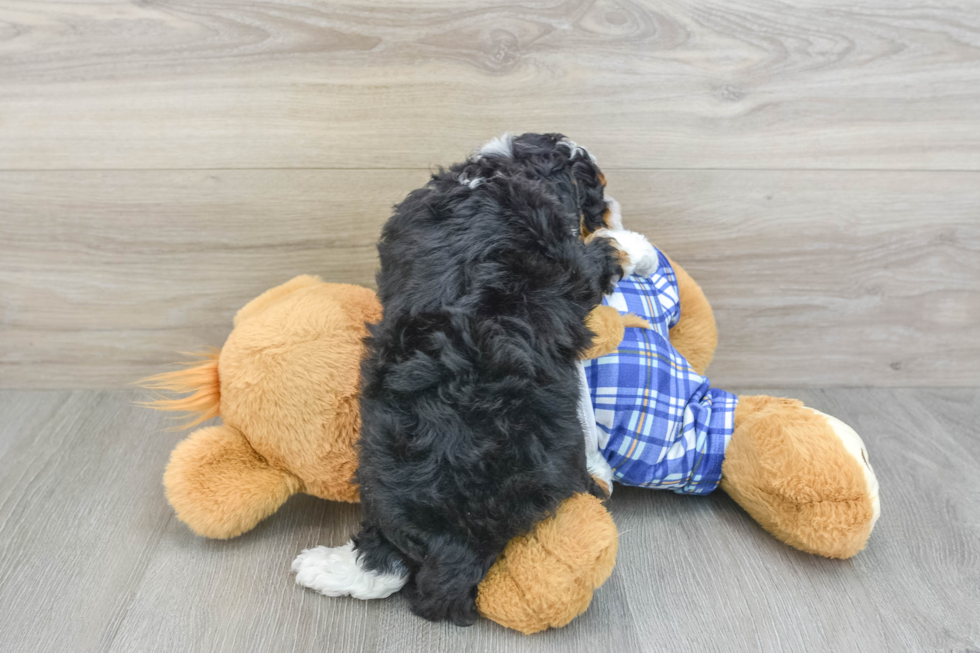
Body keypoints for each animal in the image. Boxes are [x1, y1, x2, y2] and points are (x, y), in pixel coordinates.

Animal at [294, 134, 656, 628]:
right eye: (597, 197)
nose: (615, 205)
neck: (499, 173)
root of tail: (462, 533)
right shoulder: (576, 264)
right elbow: (609, 248)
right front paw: (637, 245)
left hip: (380, 475)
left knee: (384, 560)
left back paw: (325, 569)